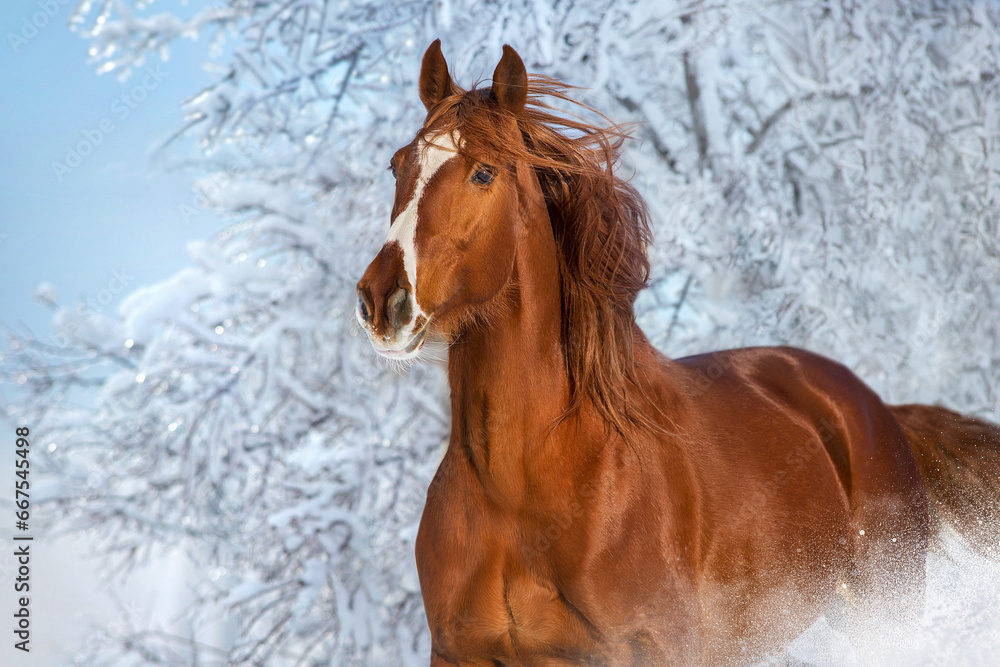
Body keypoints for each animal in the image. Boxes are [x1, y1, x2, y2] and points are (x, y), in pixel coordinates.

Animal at [355, 40, 1000, 665]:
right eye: (398, 164)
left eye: (484, 173)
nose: (382, 300)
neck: (519, 493)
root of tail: (873, 406)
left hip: (885, 609)